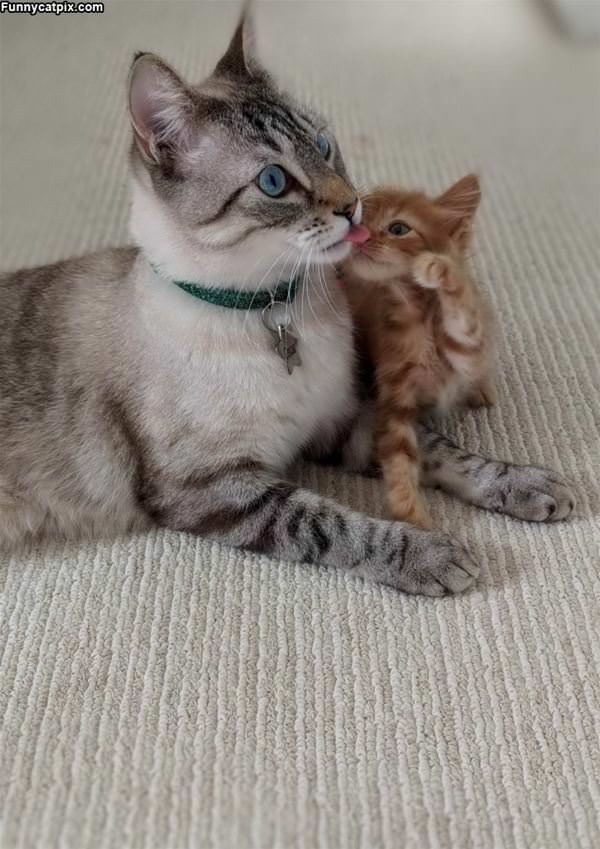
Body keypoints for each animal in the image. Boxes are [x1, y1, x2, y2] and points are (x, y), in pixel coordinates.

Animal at [342, 175, 496, 528]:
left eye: (398, 228)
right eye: (359, 222)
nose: (360, 238)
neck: (418, 316)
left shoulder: (468, 353)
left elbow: (465, 319)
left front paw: (438, 269)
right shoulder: (394, 394)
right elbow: (399, 456)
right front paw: (413, 519)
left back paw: (480, 389)